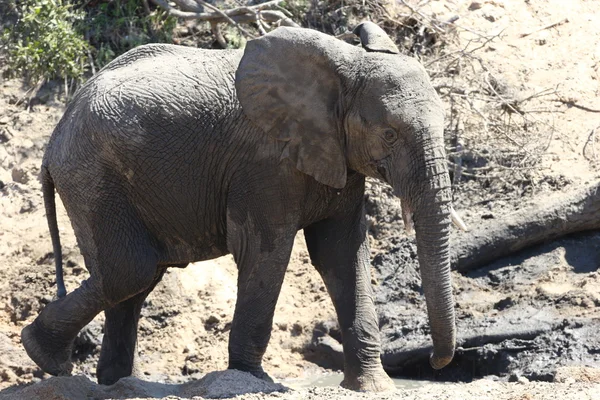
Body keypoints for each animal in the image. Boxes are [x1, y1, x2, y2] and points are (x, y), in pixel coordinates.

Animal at [22, 21, 464, 390]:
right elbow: (266, 251)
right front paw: (252, 381)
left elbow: (341, 255)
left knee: (133, 282)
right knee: (131, 271)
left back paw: (114, 383)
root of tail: (56, 133)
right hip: (92, 176)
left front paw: (372, 387)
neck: (345, 65)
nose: (436, 363)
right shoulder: (263, 163)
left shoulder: (339, 158)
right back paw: (45, 357)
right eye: (389, 134)